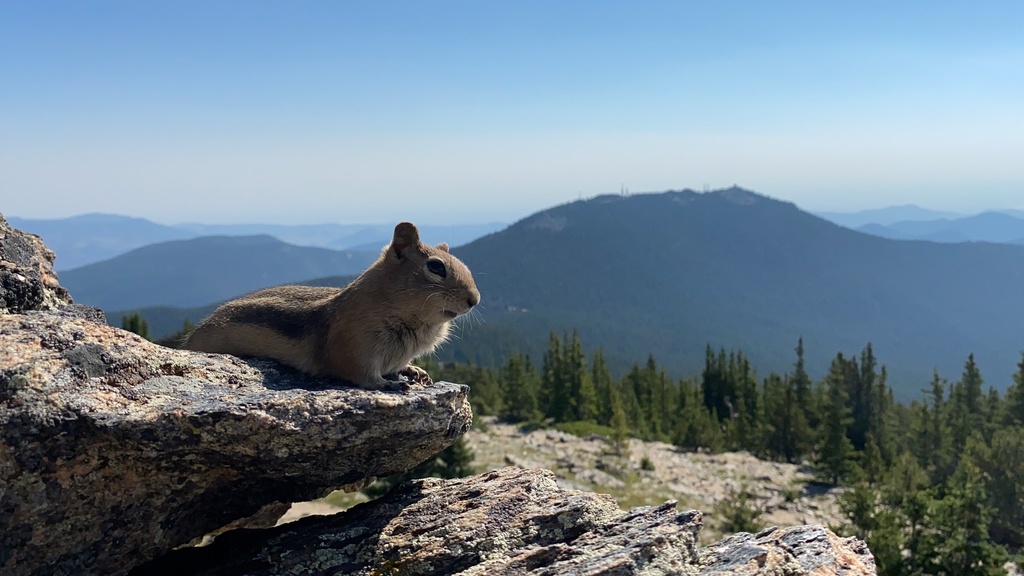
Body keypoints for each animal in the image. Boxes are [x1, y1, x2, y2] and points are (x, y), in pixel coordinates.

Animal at [183, 222, 479, 387]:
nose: (474, 300)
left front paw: (414, 370)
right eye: (436, 267)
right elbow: (360, 374)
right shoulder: (354, 345)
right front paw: (388, 385)